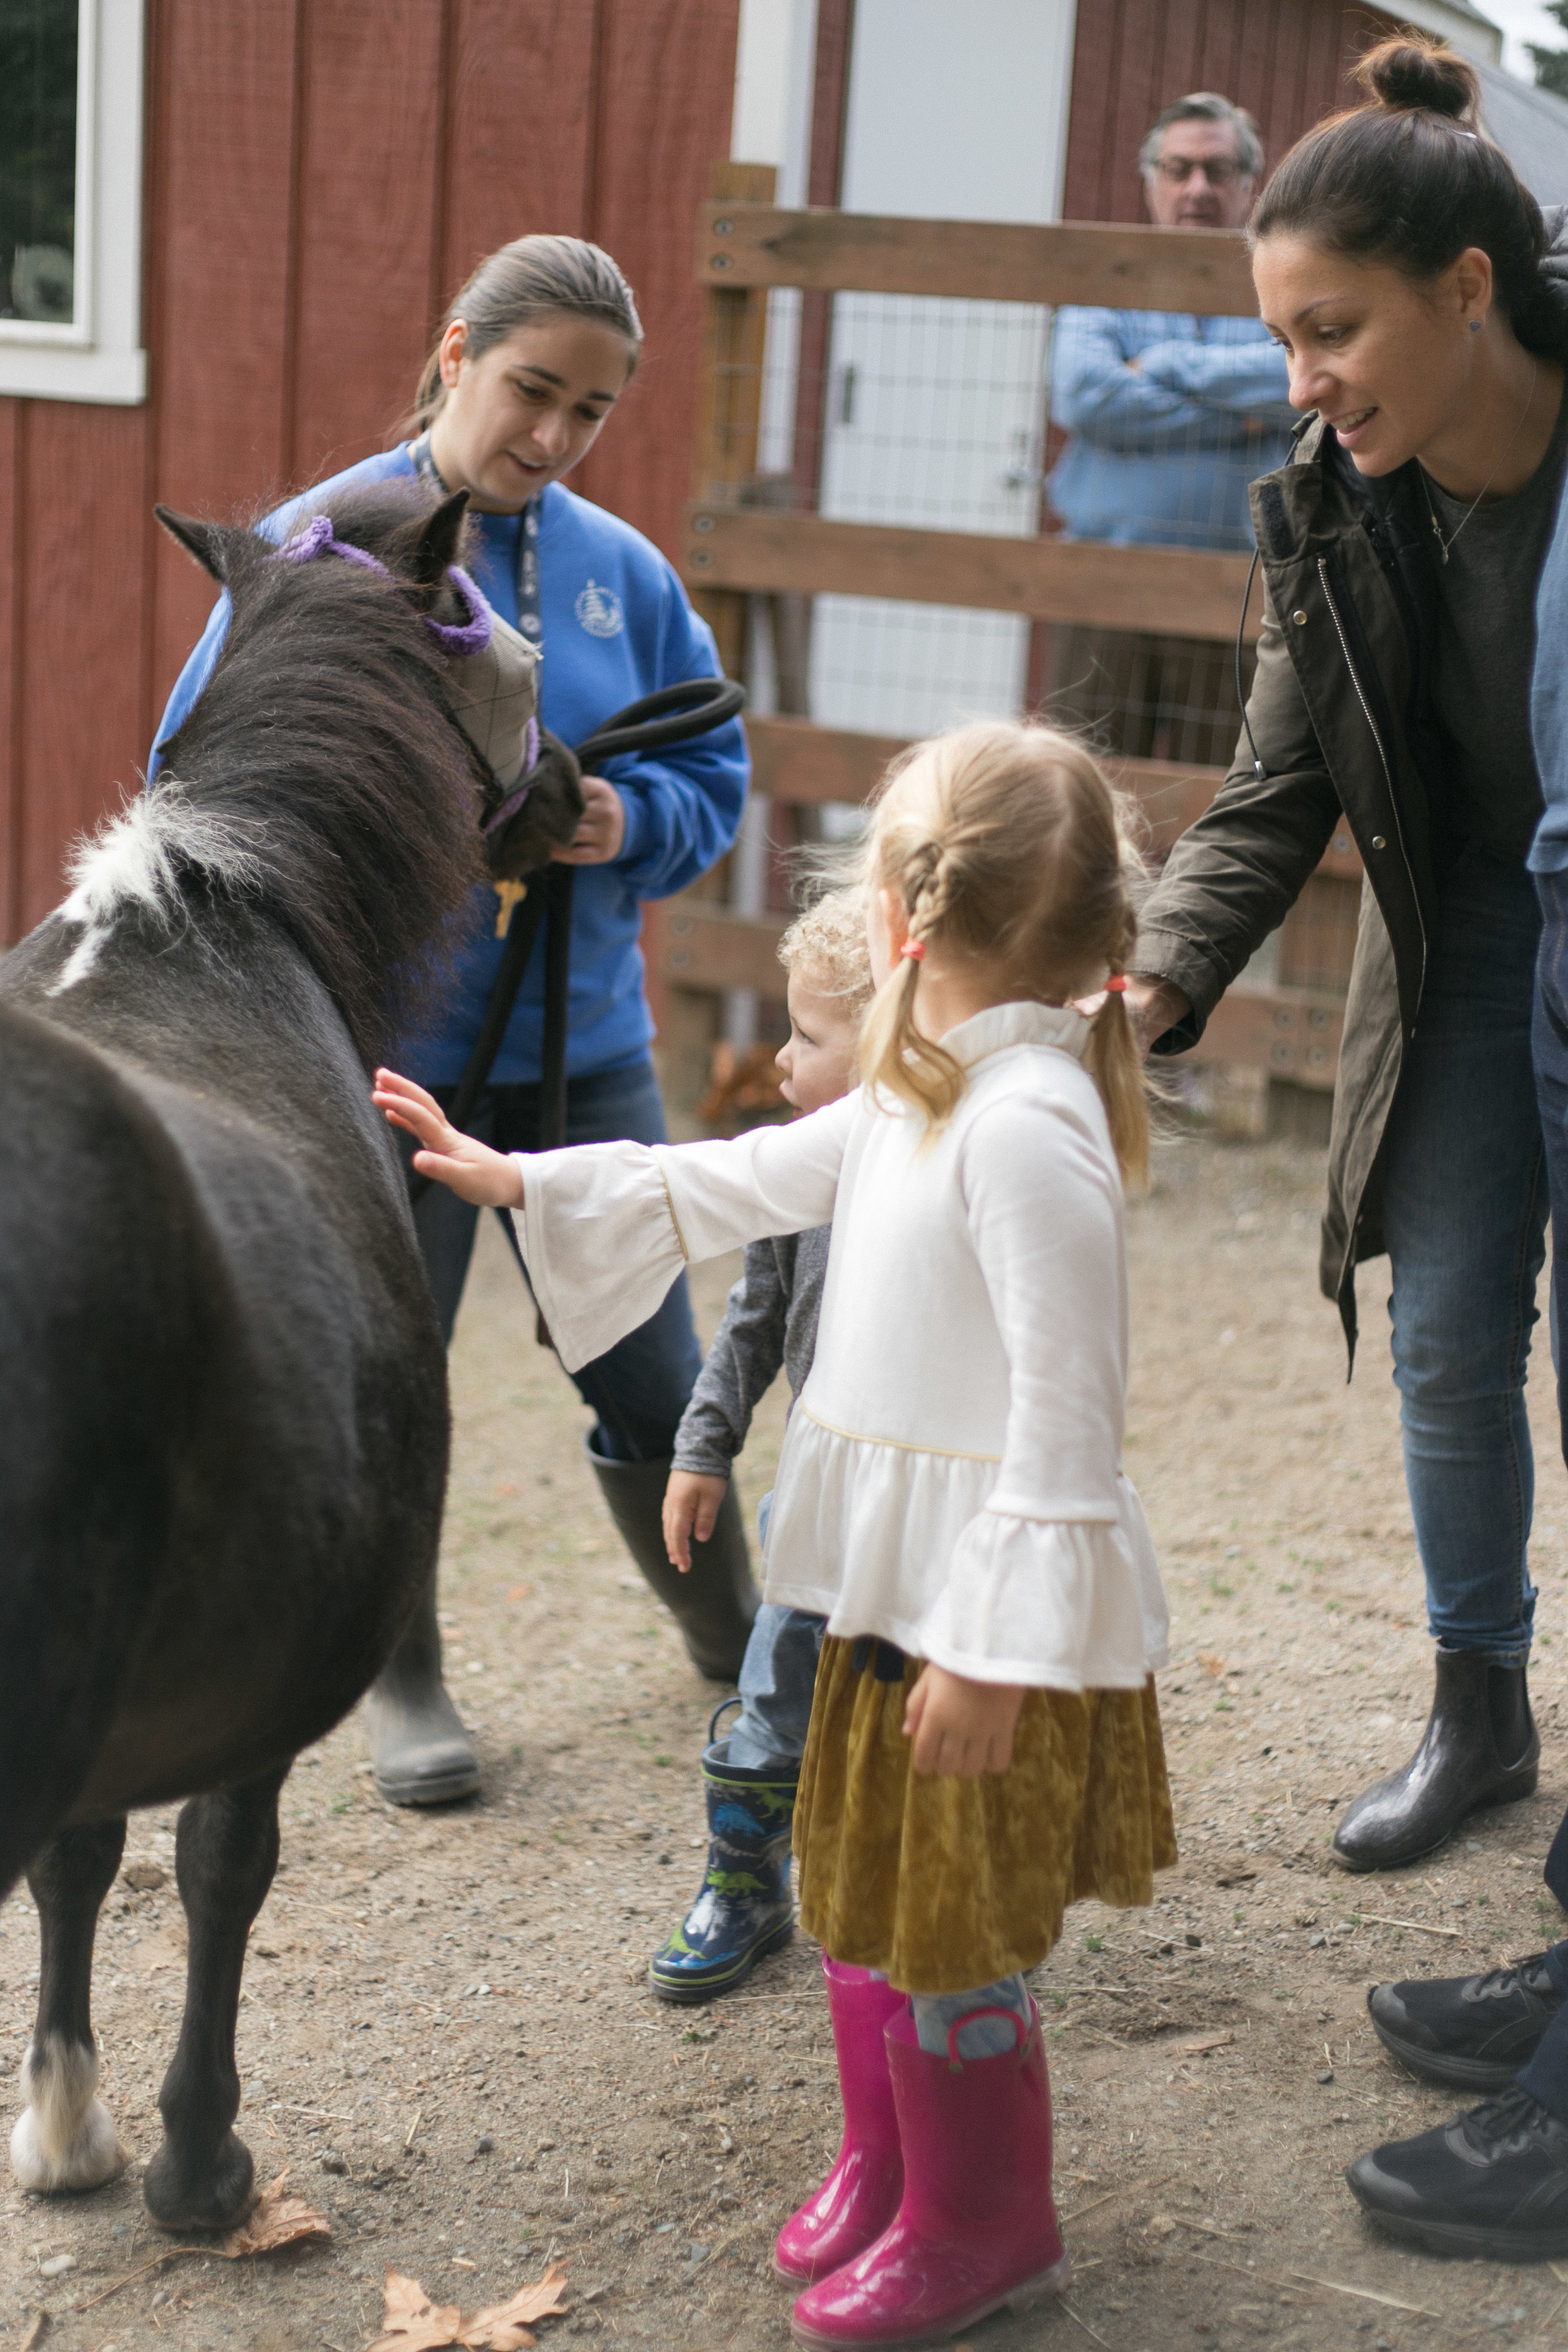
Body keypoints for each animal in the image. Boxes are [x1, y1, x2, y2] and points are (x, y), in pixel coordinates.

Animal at [0, 482, 583, 2220]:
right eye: (497, 627)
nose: (578, 789)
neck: (201, 933)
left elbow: (84, 1855)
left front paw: (65, 2120)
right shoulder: (260, 1679)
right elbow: (219, 1864)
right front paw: (196, 2161)